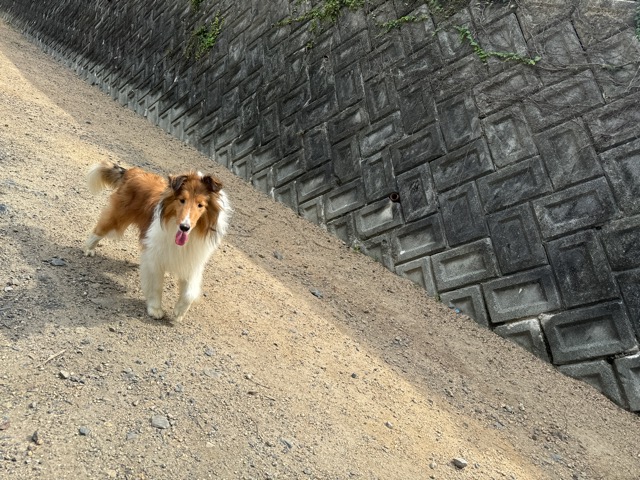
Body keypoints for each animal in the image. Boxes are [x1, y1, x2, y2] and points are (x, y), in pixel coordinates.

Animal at [84, 160, 231, 322]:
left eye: (200, 205)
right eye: (182, 200)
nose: (184, 227)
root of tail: (133, 172)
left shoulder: (191, 262)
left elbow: (189, 294)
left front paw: (179, 312)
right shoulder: (157, 257)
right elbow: (156, 286)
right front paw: (155, 309)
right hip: (118, 216)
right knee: (100, 228)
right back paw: (89, 248)